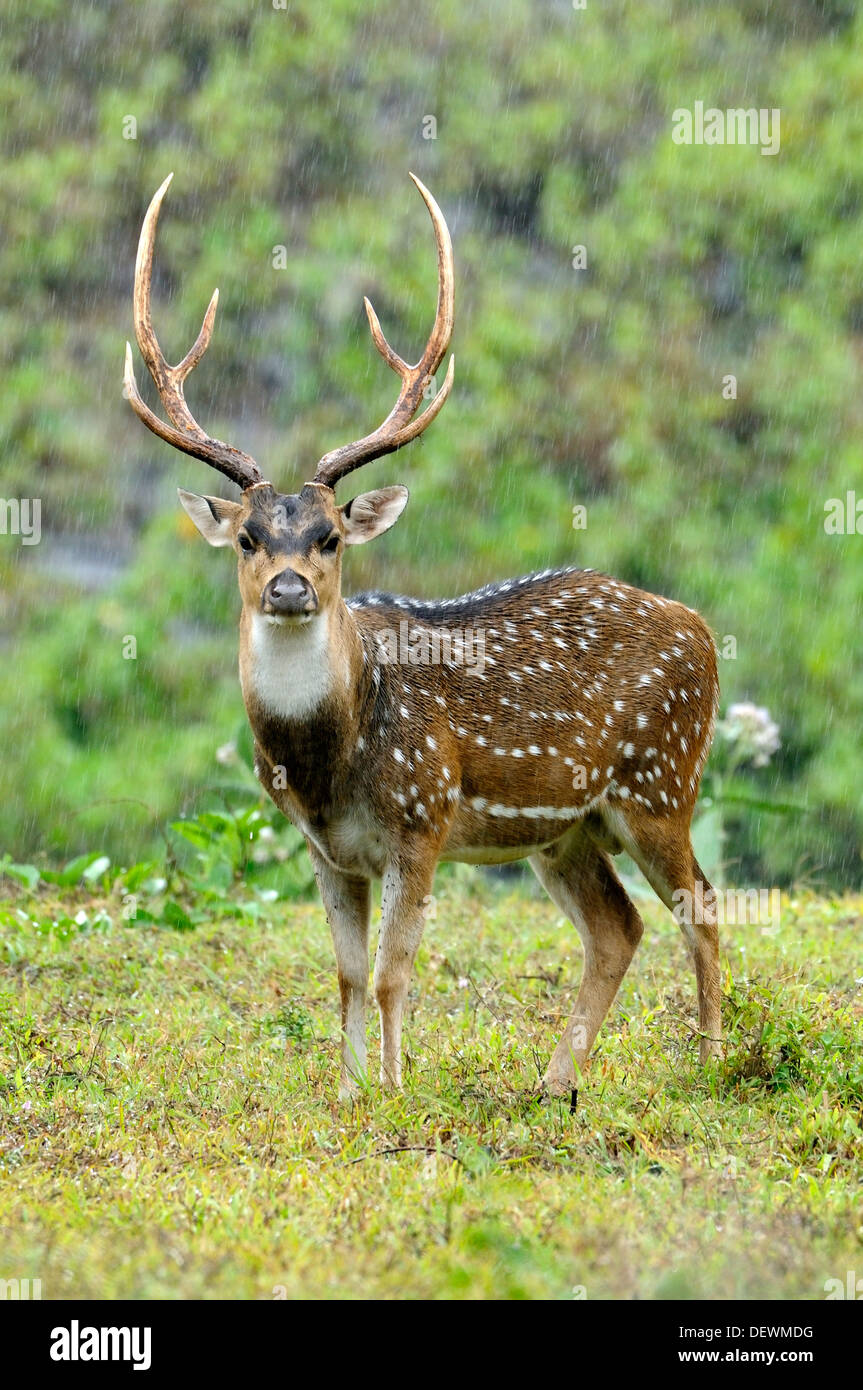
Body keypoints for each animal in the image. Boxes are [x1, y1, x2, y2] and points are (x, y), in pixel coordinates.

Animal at [124, 173, 722, 1100]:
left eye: (331, 536)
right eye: (249, 538)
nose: (290, 589)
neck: (330, 763)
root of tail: (702, 630)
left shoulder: (423, 817)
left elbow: (391, 972)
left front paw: (397, 1090)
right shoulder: (327, 851)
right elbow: (342, 973)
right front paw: (346, 1094)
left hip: (660, 780)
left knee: (702, 906)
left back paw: (711, 1062)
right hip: (565, 826)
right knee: (617, 927)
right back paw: (554, 1085)